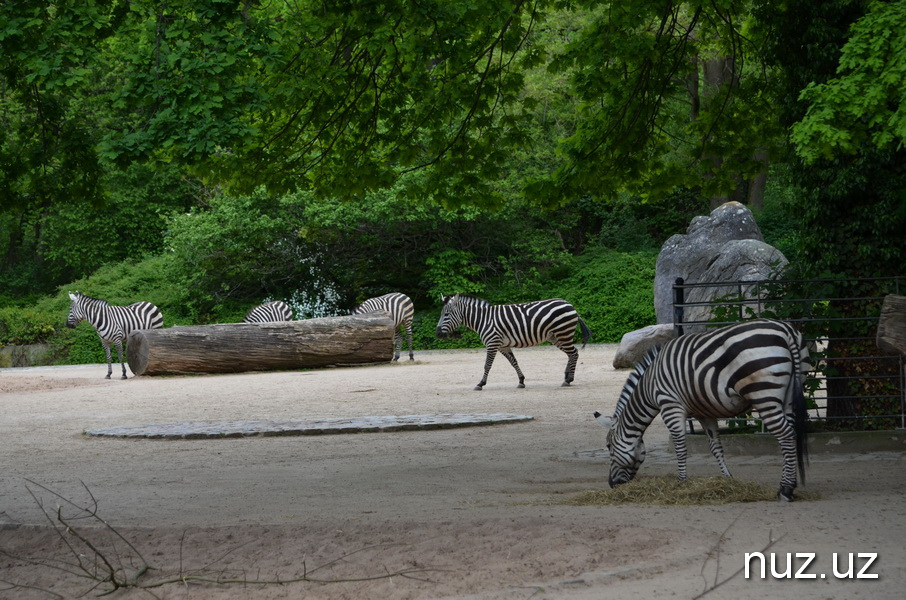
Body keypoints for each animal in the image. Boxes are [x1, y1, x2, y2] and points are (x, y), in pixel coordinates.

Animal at [434, 294, 588, 390]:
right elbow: (514, 362)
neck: (483, 320)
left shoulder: (492, 343)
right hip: (555, 336)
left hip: (563, 333)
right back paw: (566, 377)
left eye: (446, 314)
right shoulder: (503, 346)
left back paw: (569, 379)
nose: (437, 334)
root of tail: (570, 305)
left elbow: (487, 365)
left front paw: (481, 383)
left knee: (573, 353)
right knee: (572, 353)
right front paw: (521, 381)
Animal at [592, 318, 812, 502]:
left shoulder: (670, 405)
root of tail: (786, 330)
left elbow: (680, 446)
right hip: (789, 394)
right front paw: (727, 479)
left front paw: (681, 482)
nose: (612, 485)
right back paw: (786, 485)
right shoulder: (704, 413)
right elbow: (716, 448)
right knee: (791, 435)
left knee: (786, 435)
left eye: (608, 446)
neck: (649, 385)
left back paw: (786, 489)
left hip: (763, 393)